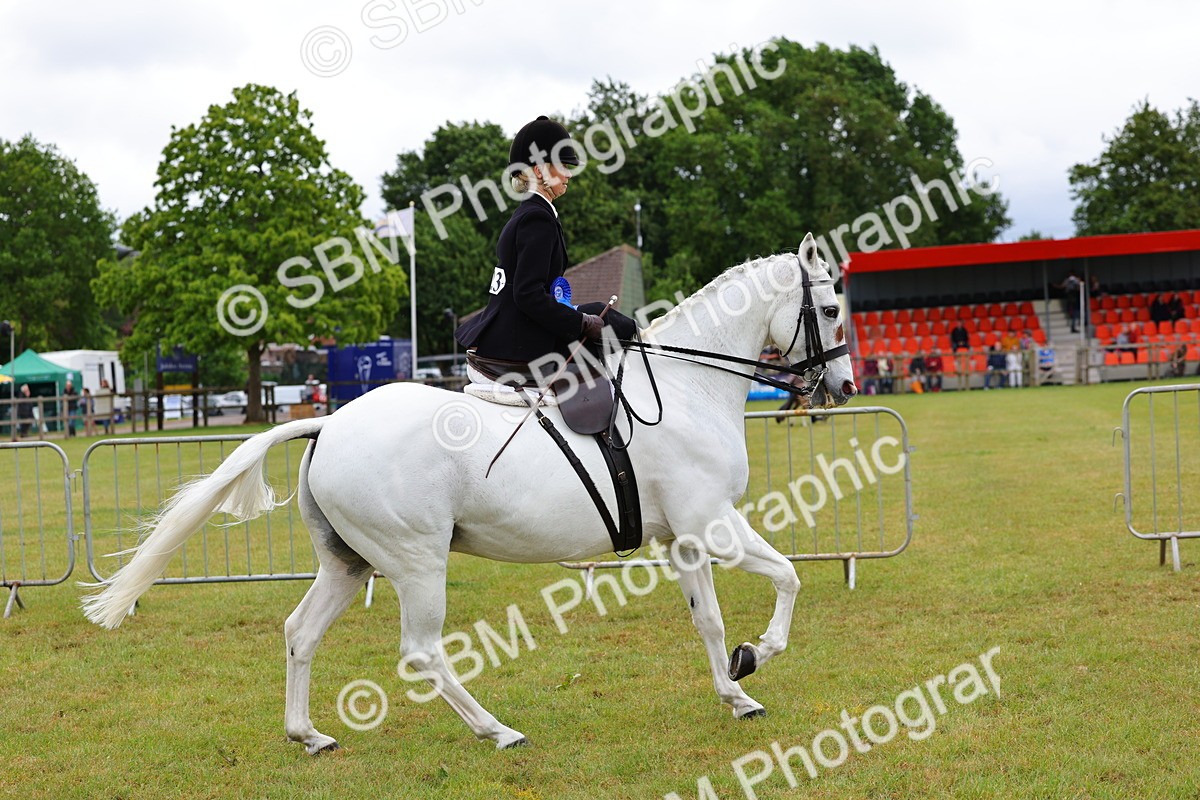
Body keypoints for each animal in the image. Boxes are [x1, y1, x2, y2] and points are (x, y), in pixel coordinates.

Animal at [83, 233, 857, 754]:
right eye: (829, 308)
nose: (845, 387)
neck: (689, 386)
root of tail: (330, 421)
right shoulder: (713, 524)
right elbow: (788, 578)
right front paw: (757, 657)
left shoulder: (684, 538)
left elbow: (710, 622)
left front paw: (736, 690)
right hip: (418, 562)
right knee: (422, 650)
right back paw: (497, 729)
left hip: (349, 562)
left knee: (301, 631)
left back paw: (309, 734)